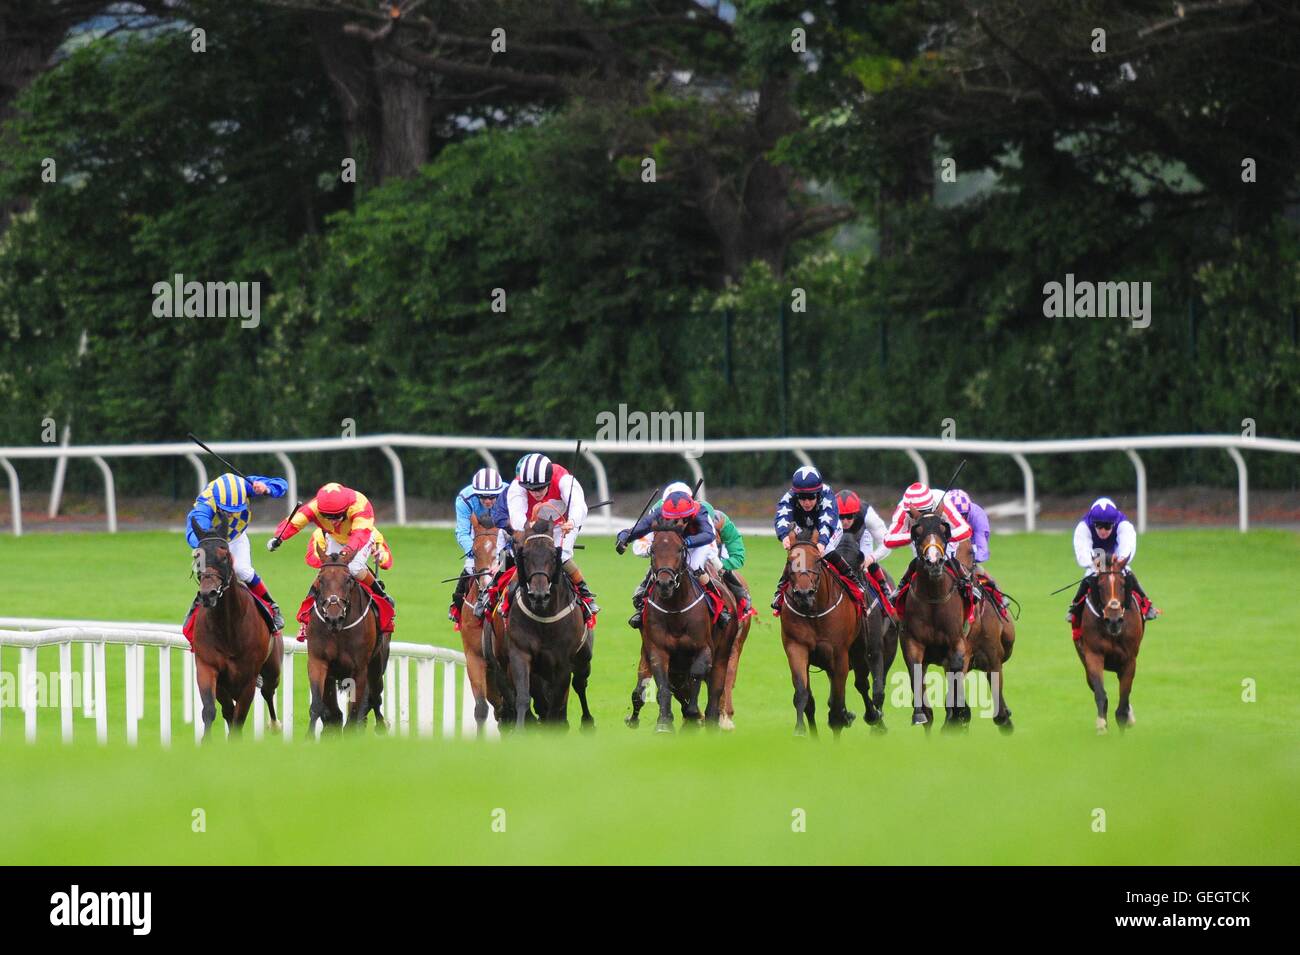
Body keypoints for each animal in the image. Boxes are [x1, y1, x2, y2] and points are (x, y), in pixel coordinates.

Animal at [187, 519, 278, 743]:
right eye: (197, 557)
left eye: (224, 556)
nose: (208, 594)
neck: (227, 626)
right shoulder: (207, 667)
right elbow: (211, 710)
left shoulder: (248, 678)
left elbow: (240, 718)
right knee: (228, 709)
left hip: (272, 669)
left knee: (268, 692)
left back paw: (275, 725)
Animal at [306, 553, 387, 732]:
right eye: (320, 579)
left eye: (348, 580)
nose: (333, 618)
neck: (339, 630)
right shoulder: (318, 661)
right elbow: (317, 705)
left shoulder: (360, 669)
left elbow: (355, 711)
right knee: (335, 713)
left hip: (377, 665)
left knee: (375, 699)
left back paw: (381, 726)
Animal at [626, 527, 738, 738]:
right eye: (653, 551)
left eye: (680, 549)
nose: (665, 584)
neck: (675, 609)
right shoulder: (657, 649)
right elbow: (662, 686)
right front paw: (664, 722)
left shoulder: (703, 649)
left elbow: (696, 675)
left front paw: (693, 714)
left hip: (722, 654)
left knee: (716, 688)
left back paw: (711, 720)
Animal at [780, 535, 863, 738]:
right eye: (789, 560)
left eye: (817, 560)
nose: (804, 594)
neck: (814, 612)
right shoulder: (797, 647)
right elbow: (803, 695)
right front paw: (801, 730)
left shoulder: (839, 655)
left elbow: (837, 707)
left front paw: (841, 721)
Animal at [1076, 553, 1149, 732]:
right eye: (1100, 586)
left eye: (1123, 585)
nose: (1114, 620)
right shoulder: (1093, 655)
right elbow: (1101, 694)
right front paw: (1102, 725)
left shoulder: (1129, 660)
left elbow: (1123, 704)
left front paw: (1125, 721)